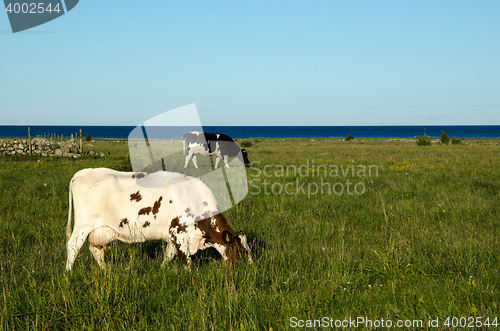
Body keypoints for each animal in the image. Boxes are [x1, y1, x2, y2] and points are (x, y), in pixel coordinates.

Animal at [66, 167, 252, 272]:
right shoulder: (179, 233)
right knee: (73, 246)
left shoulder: (172, 235)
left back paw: (105, 272)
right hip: (83, 224)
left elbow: (168, 255)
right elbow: (186, 261)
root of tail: (83, 172)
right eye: (241, 252)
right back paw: (68, 275)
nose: (250, 270)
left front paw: (162, 270)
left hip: (100, 229)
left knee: (96, 249)